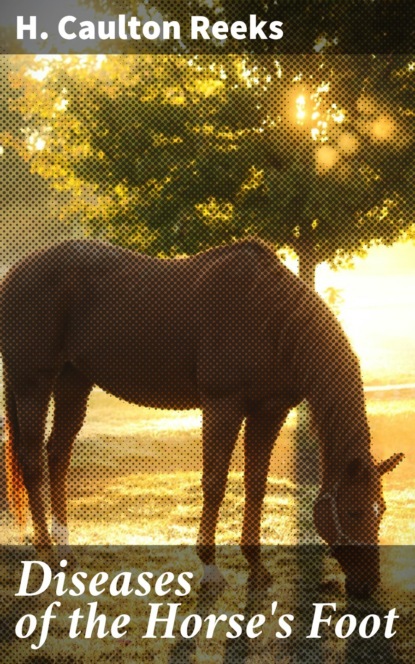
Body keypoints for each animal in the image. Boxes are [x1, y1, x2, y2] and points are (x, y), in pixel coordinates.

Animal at [1, 238, 403, 597]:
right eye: (354, 512)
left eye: (380, 510)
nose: (367, 586)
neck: (268, 316)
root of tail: (16, 273)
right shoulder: (222, 405)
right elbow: (214, 483)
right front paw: (210, 570)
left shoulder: (269, 411)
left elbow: (256, 484)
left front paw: (256, 567)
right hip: (32, 383)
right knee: (32, 460)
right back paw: (45, 553)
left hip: (73, 381)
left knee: (58, 454)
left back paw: (65, 551)